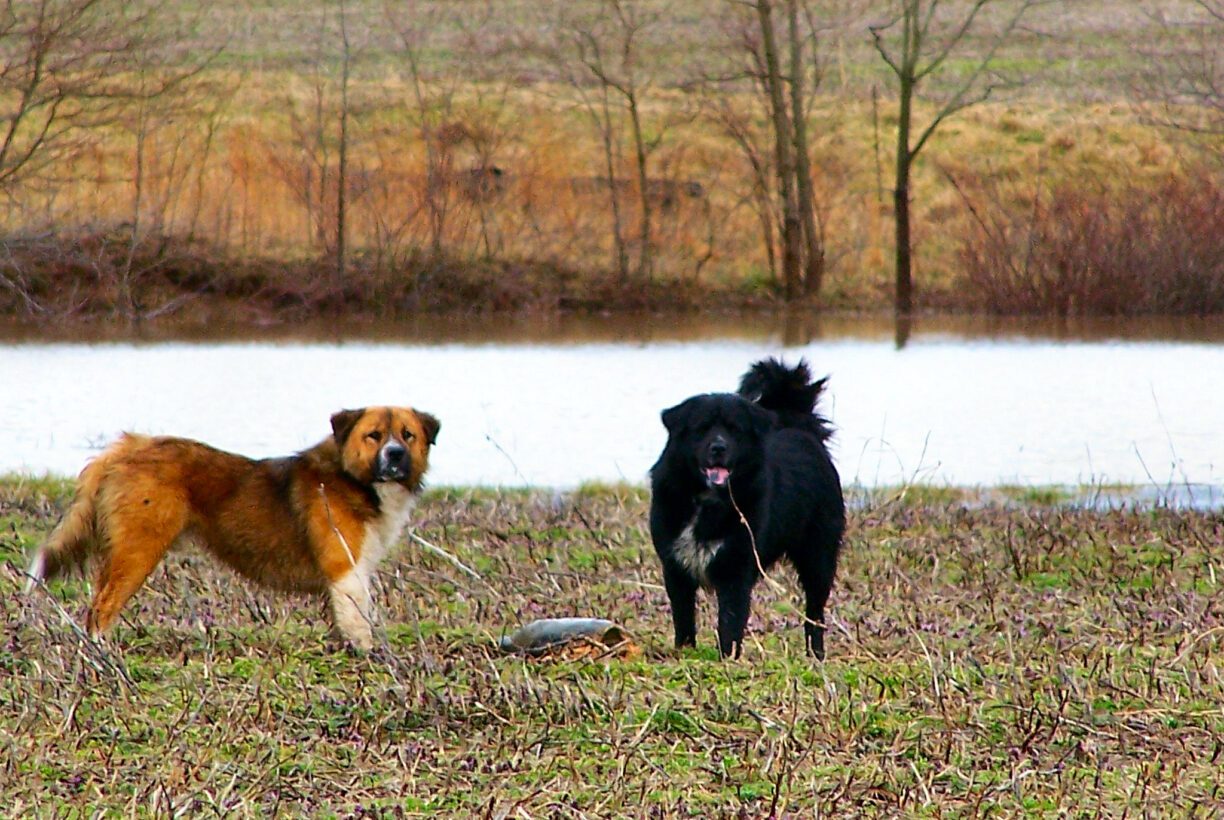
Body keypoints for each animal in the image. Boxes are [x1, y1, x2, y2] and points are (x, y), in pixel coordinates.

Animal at [23, 408, 440, 651]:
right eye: (374, 435)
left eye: (408, 435)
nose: (395, 455)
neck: (352, 478)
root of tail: (128, 447)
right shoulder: (346, 570)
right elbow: (360, 623)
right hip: (138, 551)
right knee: (102, 610)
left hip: (119, 552)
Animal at [651, 359, 842, 660]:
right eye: (702, 427)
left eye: (734, 429)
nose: (718, 447)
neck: (709, 501)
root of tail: (800, 427)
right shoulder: (675, 567)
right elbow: (683, 618)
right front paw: (684, 652)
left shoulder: (736, 570)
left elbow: (729, 621)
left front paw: (727, 658)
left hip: (818, 557)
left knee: (815, 612)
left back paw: (816, 654)